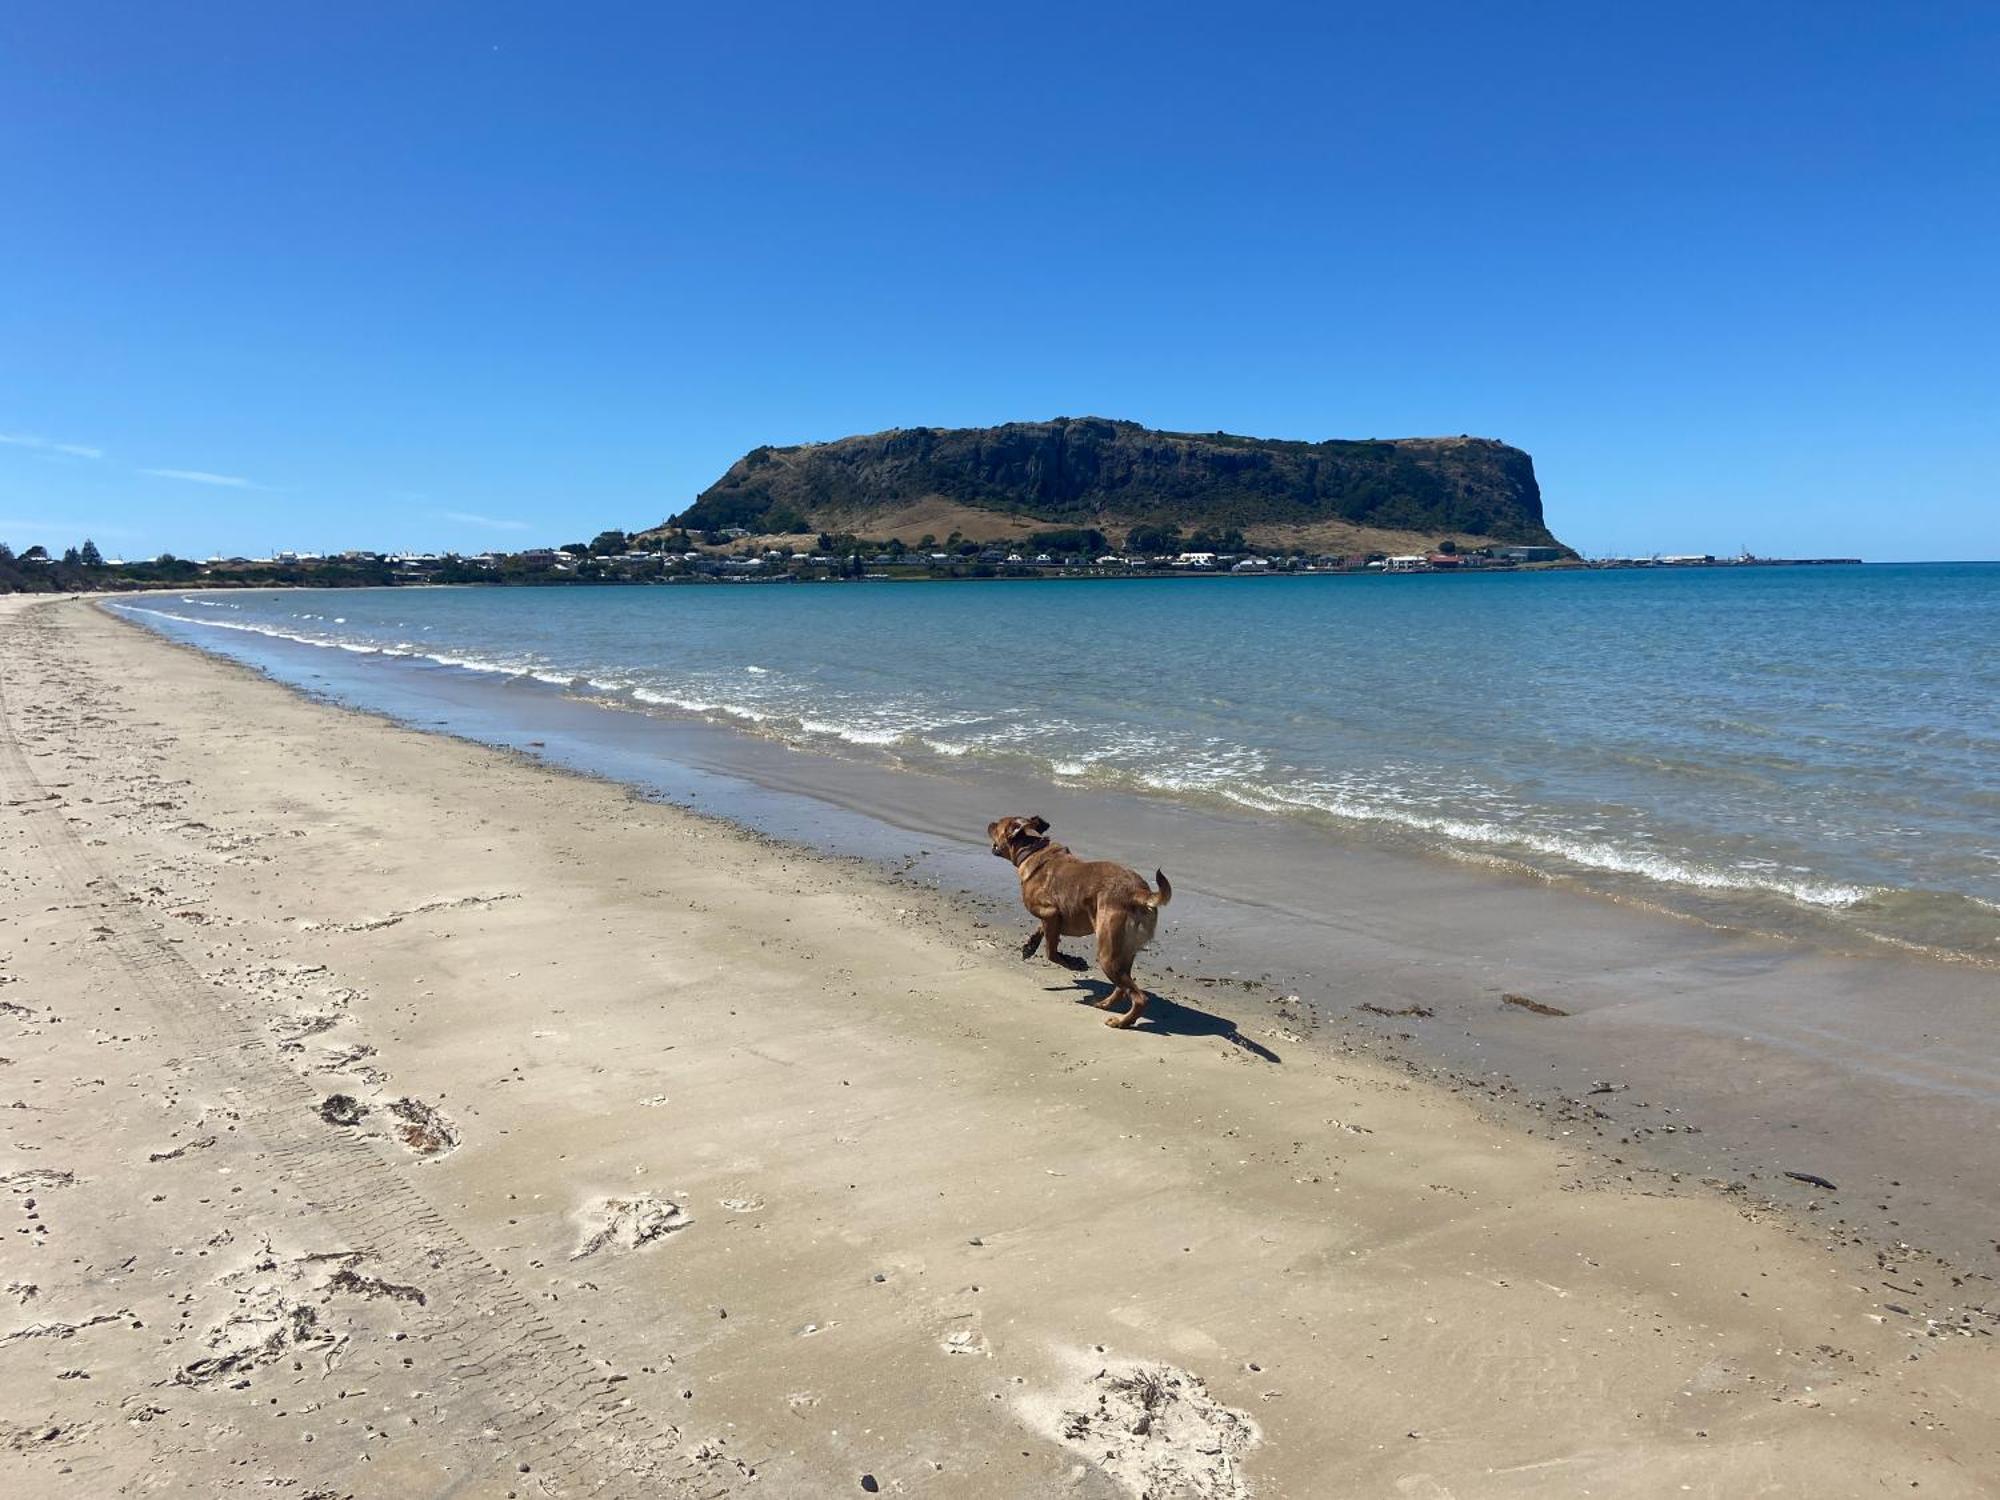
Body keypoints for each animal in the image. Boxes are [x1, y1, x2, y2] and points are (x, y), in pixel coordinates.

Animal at [988, 816, 1168, 1032]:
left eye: (998, 826)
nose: (989, 823)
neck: (1033, 849)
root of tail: (1139, 892)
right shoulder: (1050, 918)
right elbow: (1043, 931)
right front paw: (1031, 945)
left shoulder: (1050, 913)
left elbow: (1051, 952)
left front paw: (1073, 963)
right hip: (1124, 952)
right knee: (1123, 987)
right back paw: (1105, 1004)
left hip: (1108, 954)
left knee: (1139, 997)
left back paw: (1122, 1022)